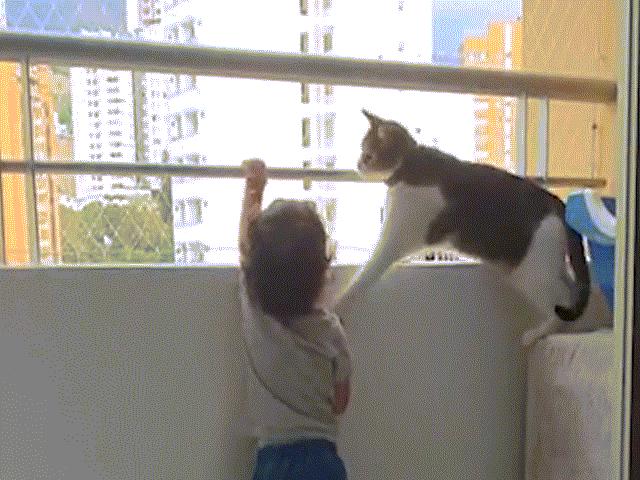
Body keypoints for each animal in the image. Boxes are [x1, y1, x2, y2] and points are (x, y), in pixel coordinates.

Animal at [334, 109, 590, 347]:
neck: (410, 163)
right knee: (573, 293)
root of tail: (558, 204)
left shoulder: (393, 240)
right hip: (549, 265)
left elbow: (365, 274)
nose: (358, 164)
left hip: (531, 273)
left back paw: (536, 334)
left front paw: (338, 307)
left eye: (367, 155)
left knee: (561, 303)